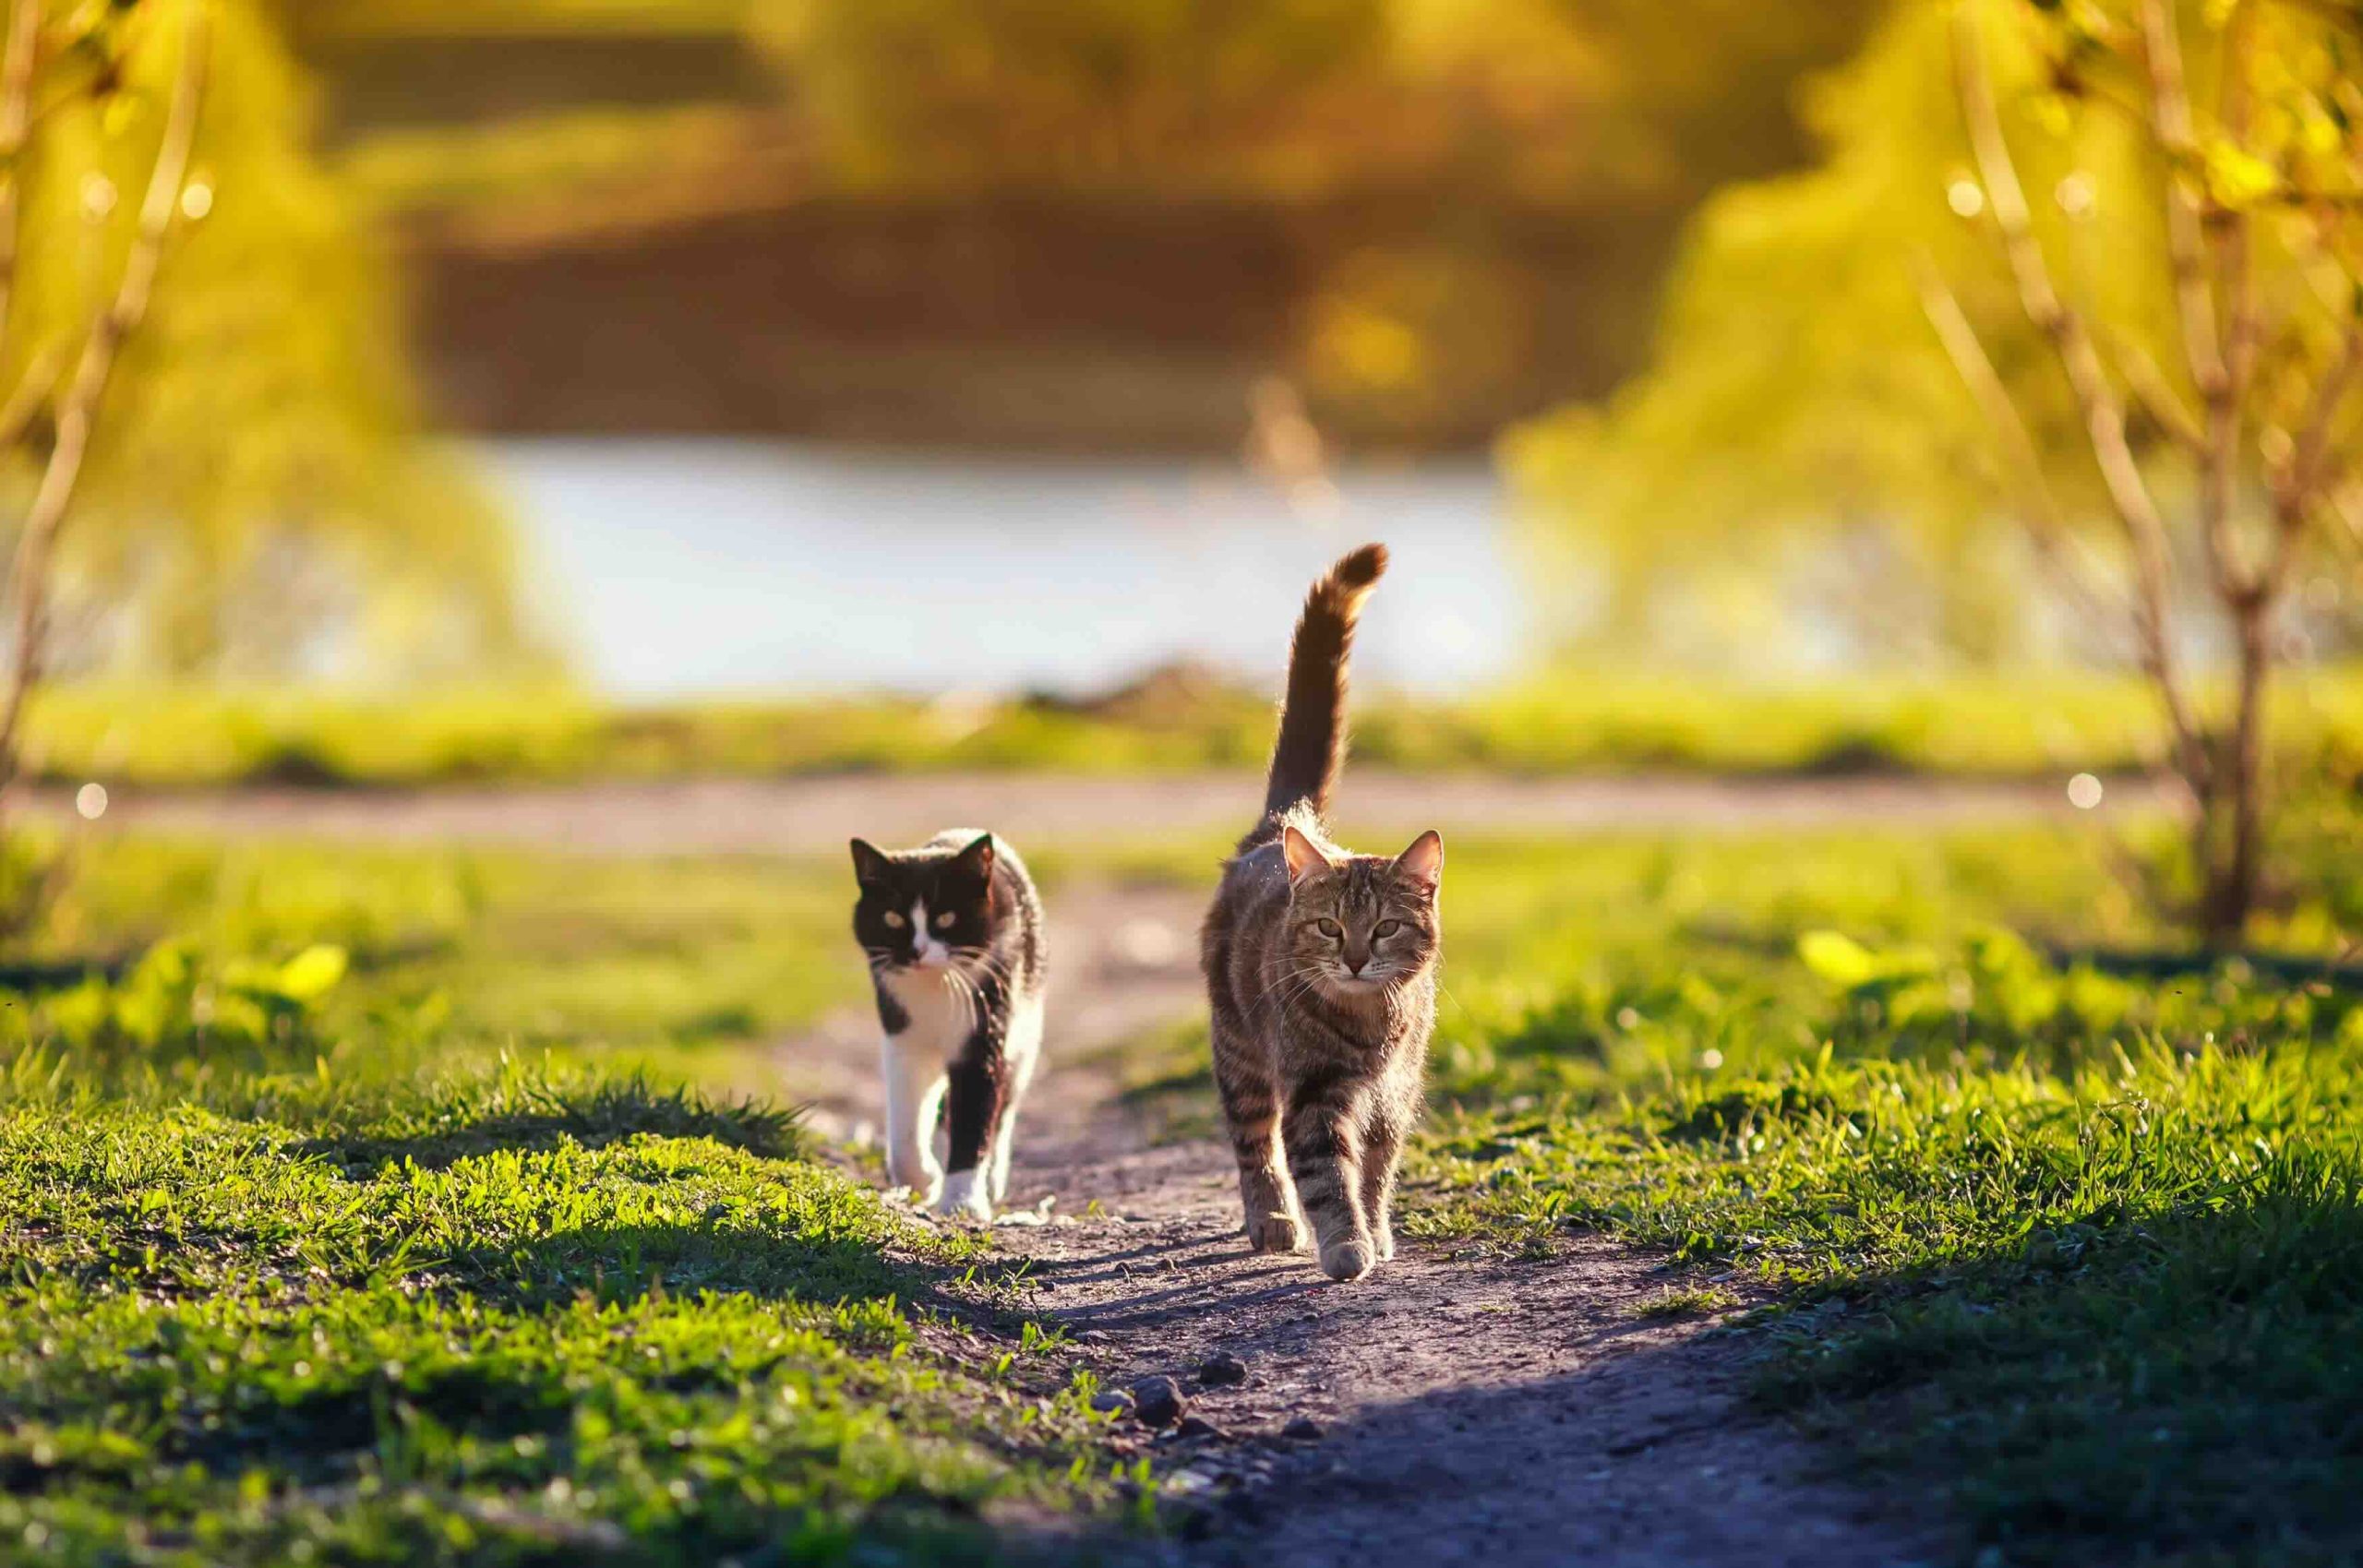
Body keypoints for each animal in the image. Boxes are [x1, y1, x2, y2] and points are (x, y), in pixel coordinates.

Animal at [846, 826, 1039, 1218]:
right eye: (893, 918)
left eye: (947, 918)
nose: (916, 951)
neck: (936, 986)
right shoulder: (902, 1035)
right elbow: (907, 1116)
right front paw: (922, 1178)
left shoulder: (985, 1031)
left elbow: (975, 1115)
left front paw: (964, 1199)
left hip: (1026, 1025)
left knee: (1006, 1102)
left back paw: (992, 1178)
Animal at [1200, 545, 1436, 1284]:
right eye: (1330, 926)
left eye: (1386, 926)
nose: (1355, 959)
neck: (1367, 1027)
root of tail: (1284, 823)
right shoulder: (1313, 1094)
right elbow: (1327, 1177)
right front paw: (1345, 1244)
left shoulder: (1393, 1095)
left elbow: (1376, 1174)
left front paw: (1378, 1231)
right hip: (1240, 1050)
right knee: (1255, 1142)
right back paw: (1273, 1218)